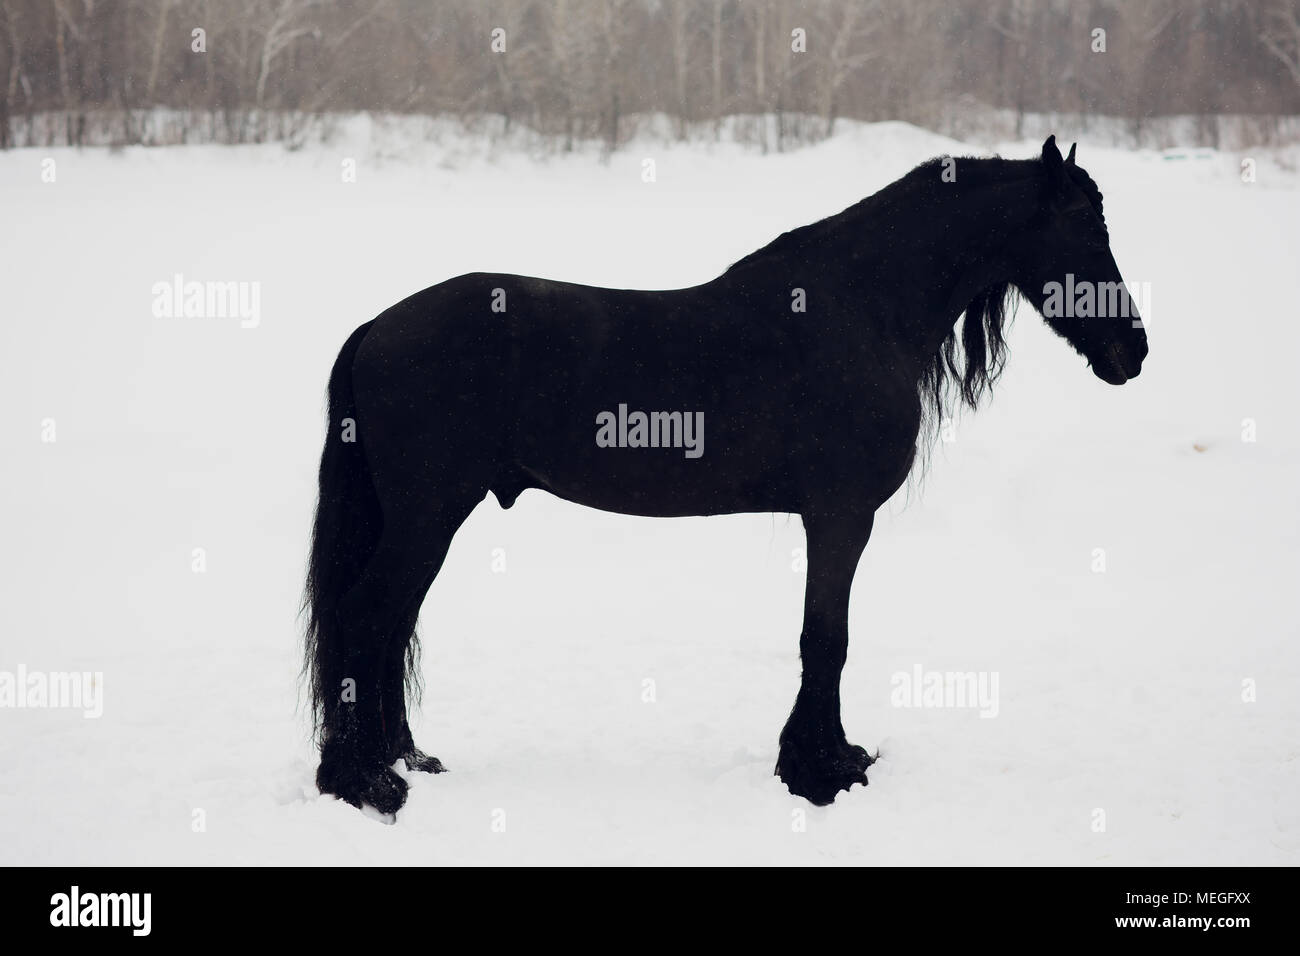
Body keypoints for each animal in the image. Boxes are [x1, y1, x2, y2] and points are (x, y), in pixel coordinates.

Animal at [303, 136, 1148, 814]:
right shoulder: (841, 516)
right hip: (427, 515)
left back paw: (403, 759)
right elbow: (825, 638)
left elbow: (827, 638)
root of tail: (378, 327)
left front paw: (832, 757)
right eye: (1085, 227)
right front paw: (818, 773)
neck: (862, 309)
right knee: (368, 618)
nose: (1133, 352)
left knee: (390, 625)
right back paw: (364, 781)